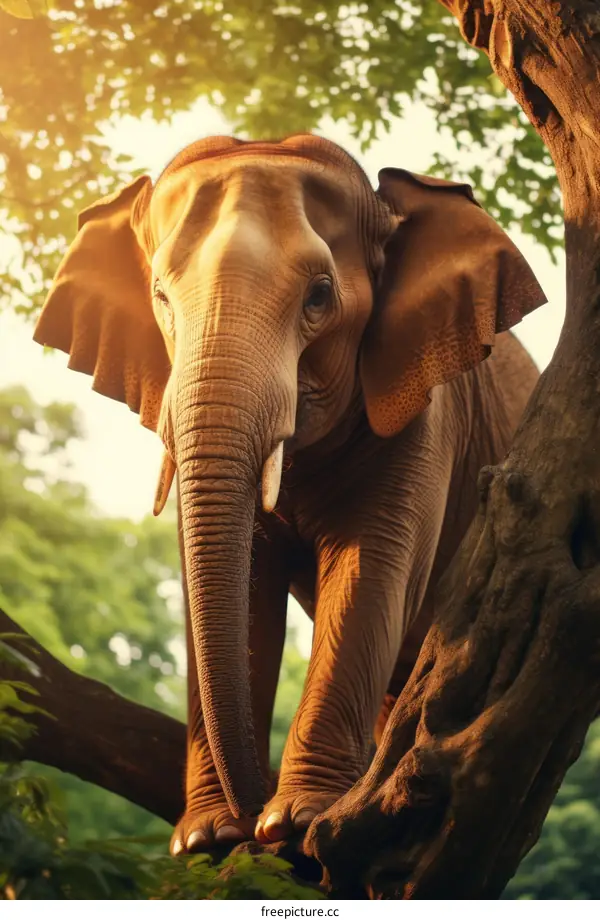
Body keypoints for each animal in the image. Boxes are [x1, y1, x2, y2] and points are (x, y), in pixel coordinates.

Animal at [33, 134, 546, 856]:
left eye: (320, 295)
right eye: (160, 296)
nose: (249, 817)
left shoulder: (425, 410)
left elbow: (369, 569)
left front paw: (294, 821)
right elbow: (239, 587)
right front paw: (206, 839)